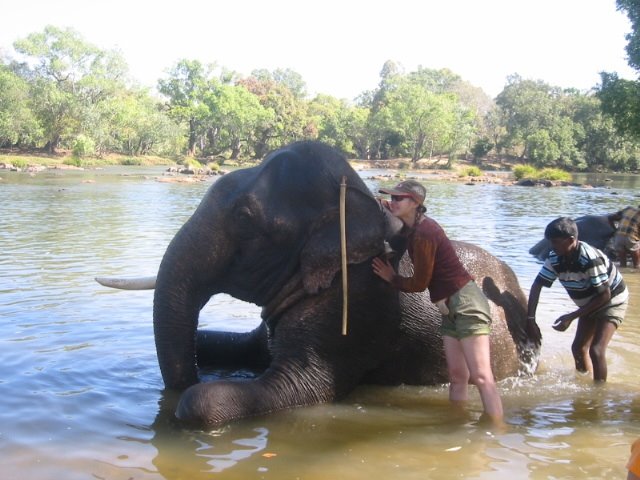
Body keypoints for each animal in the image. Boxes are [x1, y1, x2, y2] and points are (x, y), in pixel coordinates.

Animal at [97, 140, 541, 427]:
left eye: (244, 217)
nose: (186, 378)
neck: (358, 200)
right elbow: (227, 344)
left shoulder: (358, 306)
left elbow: (296, 385)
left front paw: (191, 397)